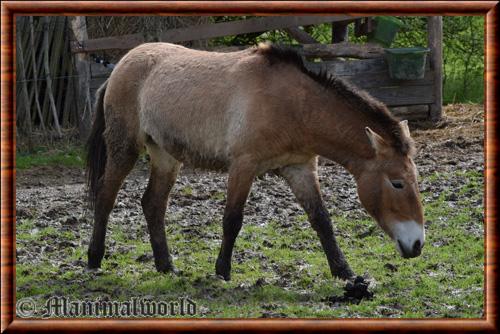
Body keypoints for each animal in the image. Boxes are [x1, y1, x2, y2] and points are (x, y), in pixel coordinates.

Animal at [87, 42, 426, 282]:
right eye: (397, 183)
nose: (417, 245)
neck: (294, 106)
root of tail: (120, 65)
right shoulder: (243, 165)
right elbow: (232, 220)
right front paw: (222, 270)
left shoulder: (300, 168)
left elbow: (321, 219)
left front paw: (343, 271)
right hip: (124, 149)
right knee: (105, 198)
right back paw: (94, 259)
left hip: (165, 156)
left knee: (153, 205)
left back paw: (166, 266)